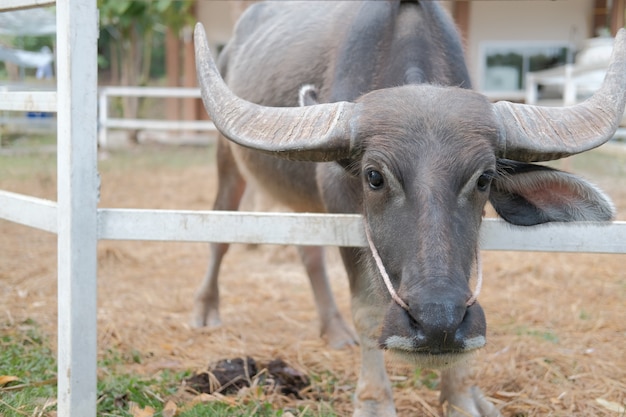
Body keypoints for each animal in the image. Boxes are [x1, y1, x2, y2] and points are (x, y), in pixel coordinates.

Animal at [193, 1, 620, 414]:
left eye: (484, 179)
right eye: (374, 176)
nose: (437, 322)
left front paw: (463, 394)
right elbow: (366, 308)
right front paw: (373, 400)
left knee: (309, 253)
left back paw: (333, 330)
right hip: (228, 164)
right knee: (220, 233)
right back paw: (205, 310)